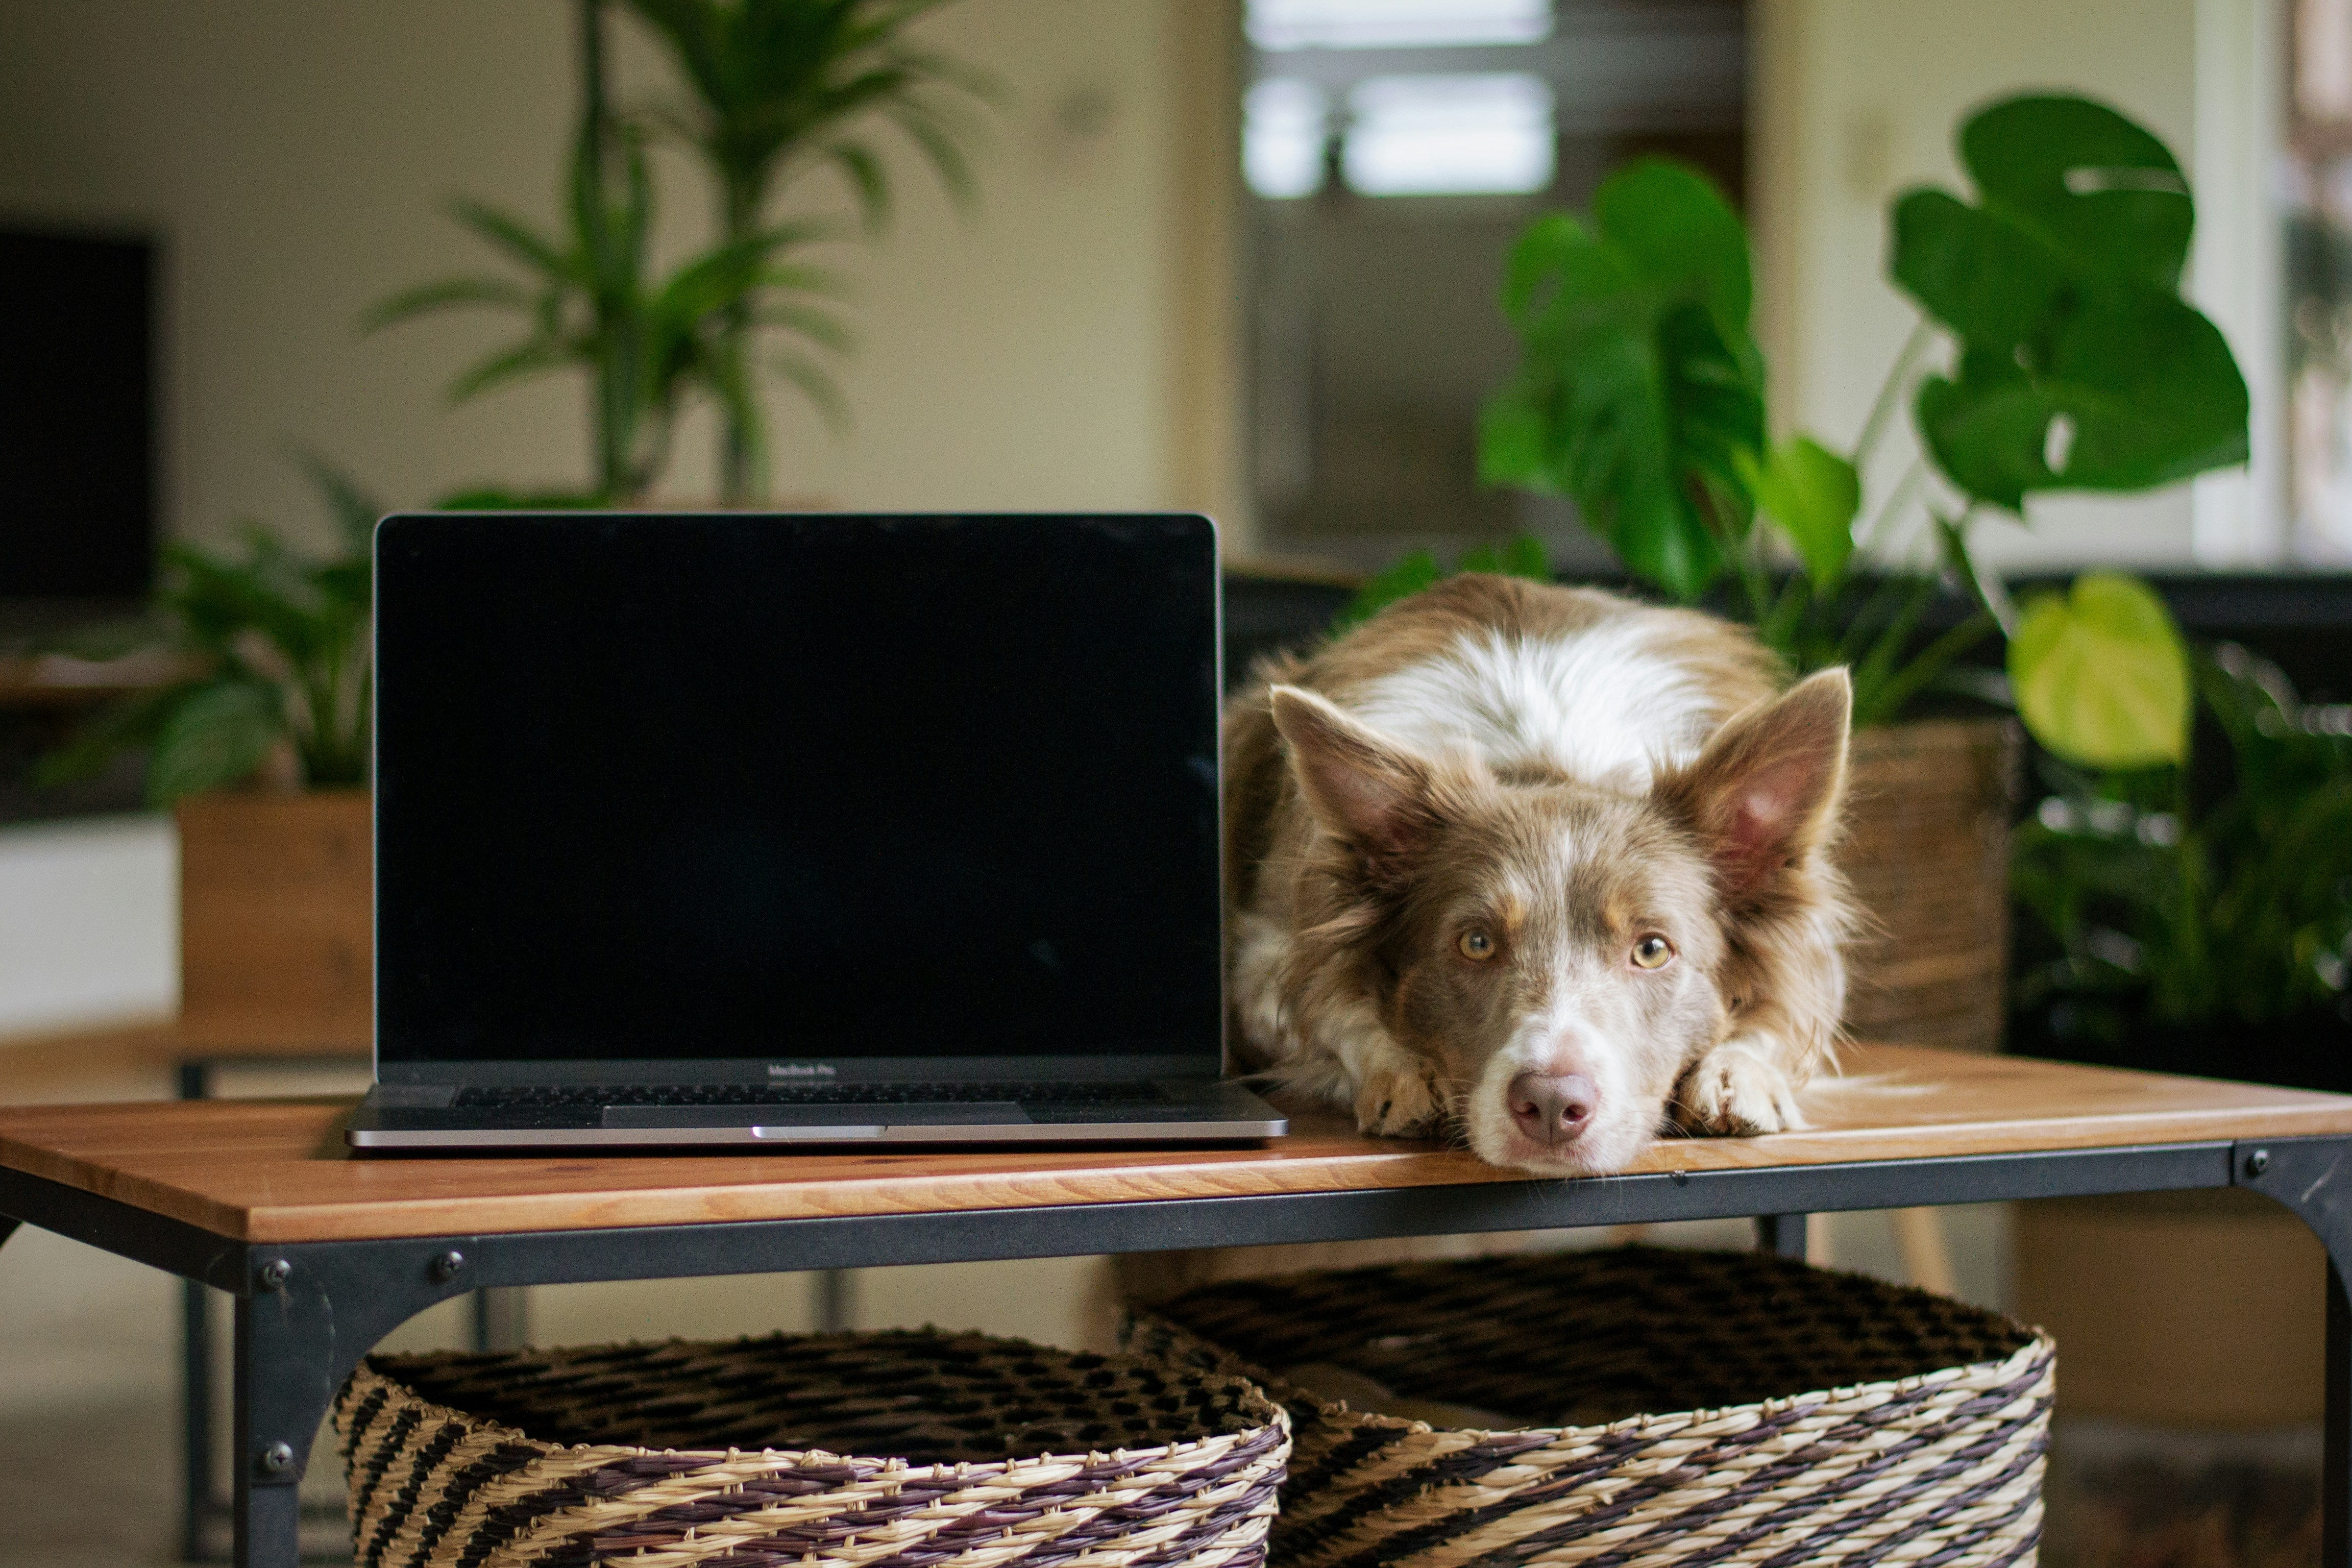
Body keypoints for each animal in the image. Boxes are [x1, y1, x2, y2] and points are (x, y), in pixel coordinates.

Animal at [1232, 576, 1853, 1175]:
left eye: (1652, 949)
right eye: (1476, 943)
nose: (1552, 1104)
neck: (1552, 767)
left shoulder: (1816, 958)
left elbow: (1785, 1016)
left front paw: (1738, 1075)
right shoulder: (1268, 955)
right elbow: (1332, 1009)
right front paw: (1403, 1070)